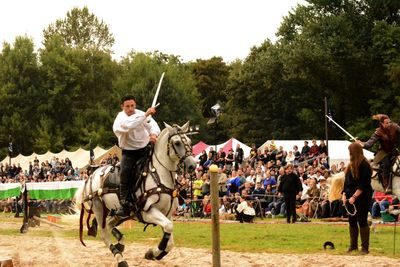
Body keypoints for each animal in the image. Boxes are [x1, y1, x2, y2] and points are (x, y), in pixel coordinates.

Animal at [75, 122, 197, 266]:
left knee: (110, 225)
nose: (192, 166)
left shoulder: (167, 214)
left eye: (189, 141)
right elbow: (168, 227)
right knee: (104, 234)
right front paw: (155, 251)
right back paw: (120, 259)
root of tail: (91, 174)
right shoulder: (148, 212)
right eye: (177, 142)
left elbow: (170, 240)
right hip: (99, 209)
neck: (159, 174)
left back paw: (120, 244)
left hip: (118, 214)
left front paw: (152, 253)